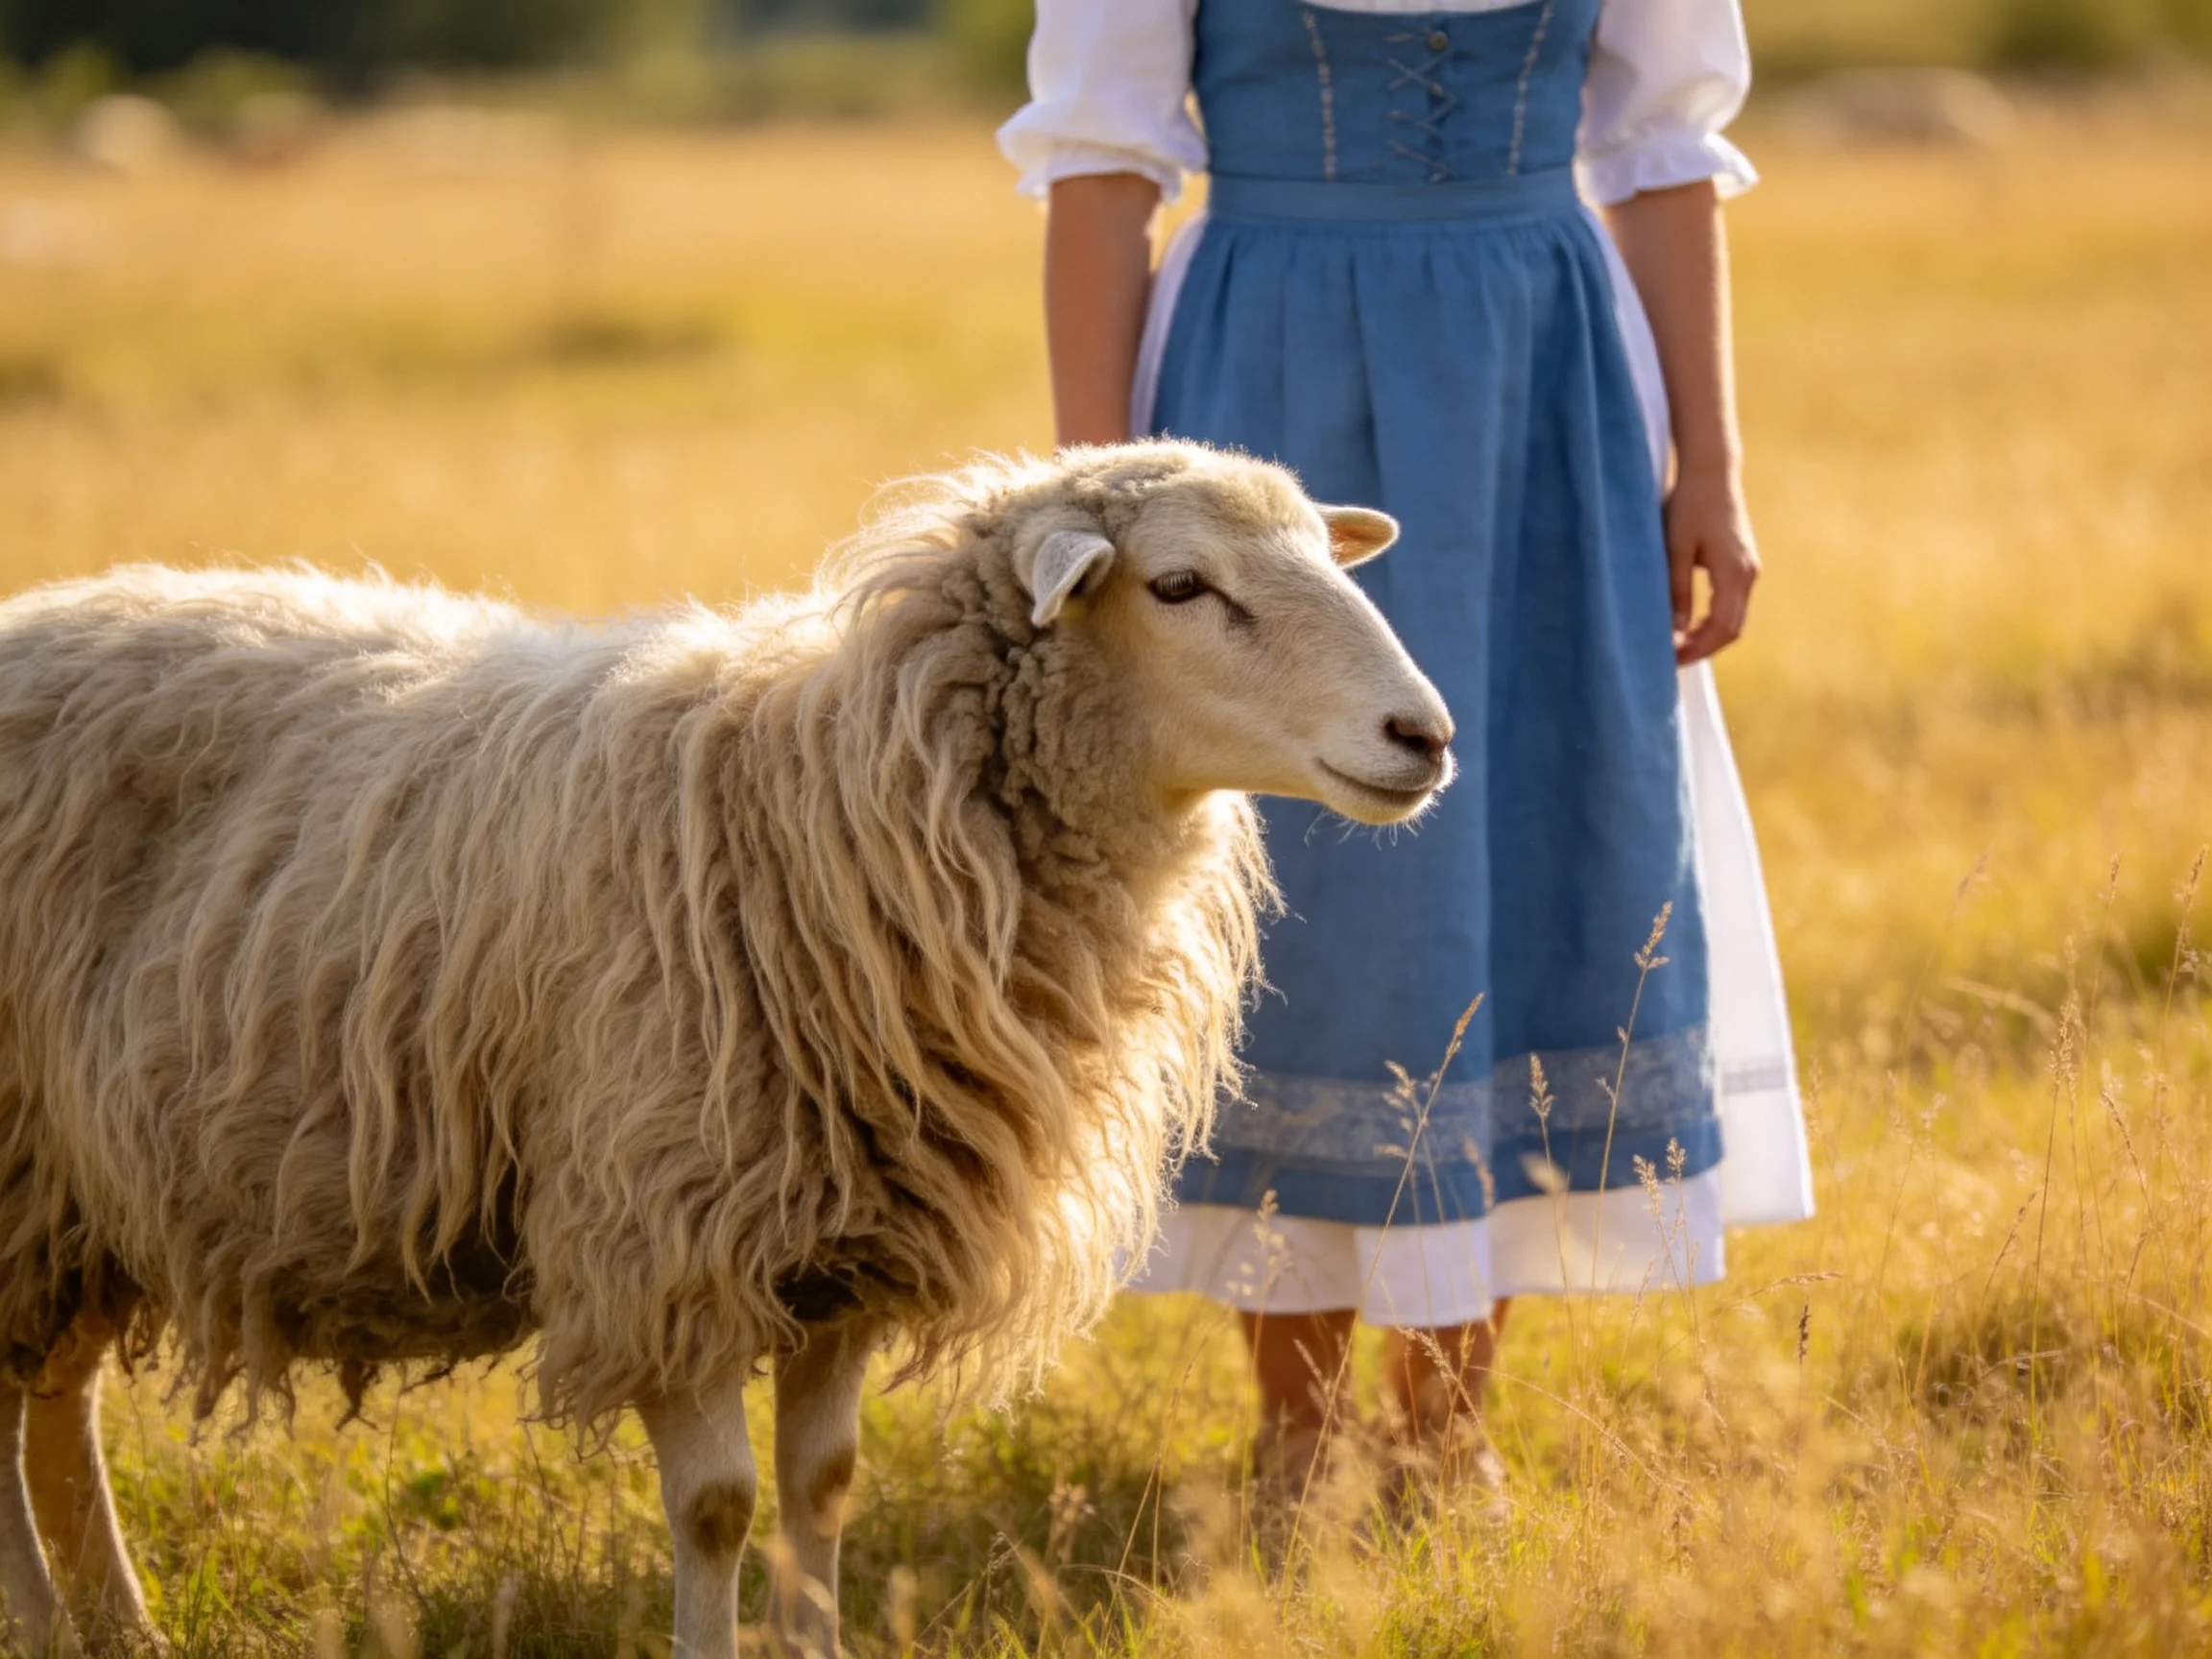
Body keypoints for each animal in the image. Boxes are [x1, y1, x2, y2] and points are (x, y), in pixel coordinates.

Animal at [0, 440, 1452, 1659]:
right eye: (1179, 584)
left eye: (1324, 558)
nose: (1425, 736)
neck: (825, 805)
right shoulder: (668, 1242)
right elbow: (717, 1507)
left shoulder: (856, 1243)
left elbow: (824, 1487)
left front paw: (817, 1647)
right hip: (27, 1167)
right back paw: (49, 1623)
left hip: (78, 1195)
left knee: (54, 1404)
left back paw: (116, 1630)